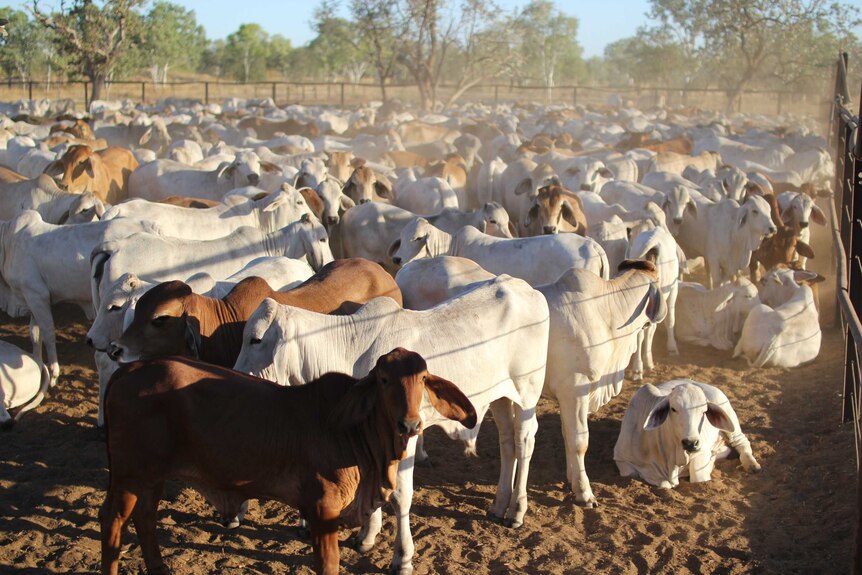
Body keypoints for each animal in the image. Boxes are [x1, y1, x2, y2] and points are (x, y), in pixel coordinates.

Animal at [101, 348, 480, 575]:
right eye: (384, 379)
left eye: (423, 380)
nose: (410, 425)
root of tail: (128, 370)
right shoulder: (322, 509)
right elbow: (328, 564)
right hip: (129, 476)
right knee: (113, 521)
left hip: (151, 477)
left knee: (145, 520)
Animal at [616, 380, 764, 488]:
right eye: (673, 409)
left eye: (704, 411)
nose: (691, 443)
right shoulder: (622, 460)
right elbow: (661, 484)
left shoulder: (701, 452)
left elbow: (698, 478)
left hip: (731, 424)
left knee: (742, 443)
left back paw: (752, 465)